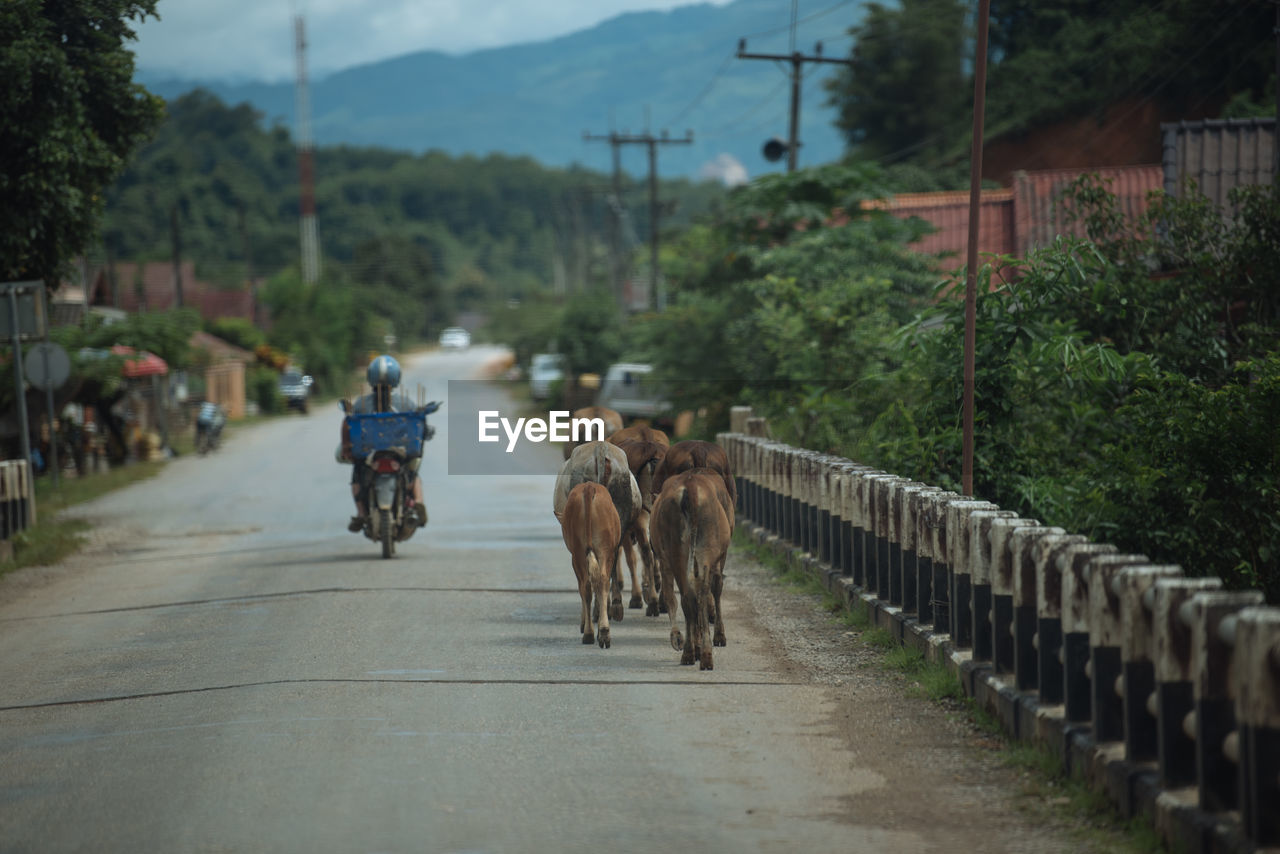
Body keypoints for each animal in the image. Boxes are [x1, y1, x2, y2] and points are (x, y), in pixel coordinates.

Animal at [558, 481, 622, 647]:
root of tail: (589, 487)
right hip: (603, 550)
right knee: (601, 581)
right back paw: (602, 633)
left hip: (579, 552)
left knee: (587, 585)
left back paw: (591, 633)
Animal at [650, 471, 732, 670]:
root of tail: (691, 488)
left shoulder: (664, 561)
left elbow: (670, 597)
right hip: (699, 551)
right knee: (699, 594)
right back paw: (700, 653)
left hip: (680, 552)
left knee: (691, 597)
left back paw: (694, 651)